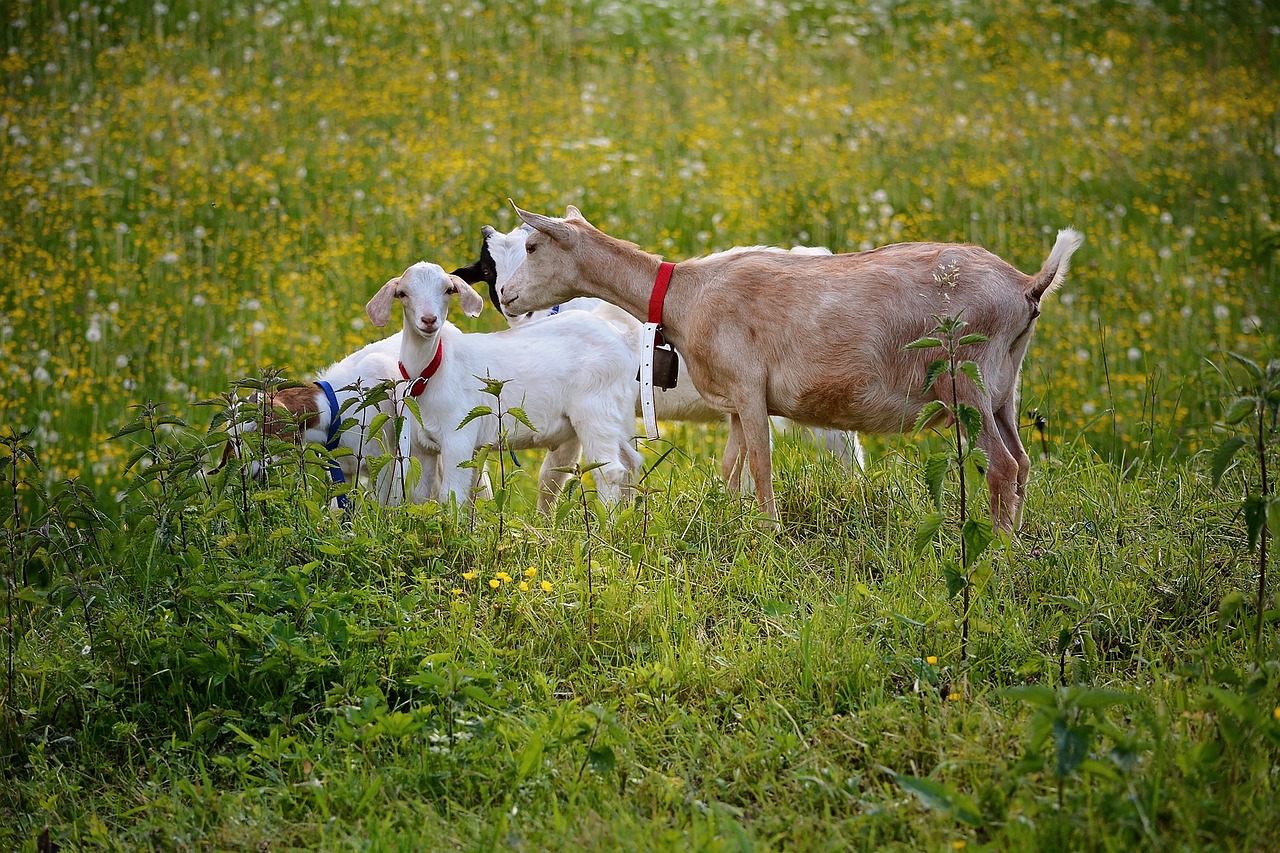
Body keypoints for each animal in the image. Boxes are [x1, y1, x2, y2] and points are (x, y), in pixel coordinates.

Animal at [363, 258, 640, 507]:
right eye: (403, 293)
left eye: (448, 290)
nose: (429, 320)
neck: (432, 370)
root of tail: (623, 339)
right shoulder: (424, 448)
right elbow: (423, 497)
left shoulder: (458, 438)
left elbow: (452, 495)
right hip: (618, 416)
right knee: (631, 463)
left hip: (595, 411)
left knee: (610, 471)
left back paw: (609, 524)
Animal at [499, 204, 1080, 532]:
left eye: (532, 244)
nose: (505, 296)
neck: (687, 294)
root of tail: (1027, 287)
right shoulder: (733, 400)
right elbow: (730, 468)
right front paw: (735, 524)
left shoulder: (750, 388)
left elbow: (760, 463)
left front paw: (770, 533)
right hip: (1003, 388)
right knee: (1023, 461)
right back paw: (1017, 541)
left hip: (965, 381)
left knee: (1001, 467)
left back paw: (998, 551)